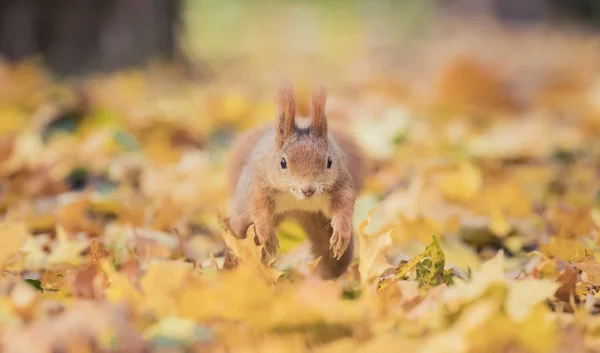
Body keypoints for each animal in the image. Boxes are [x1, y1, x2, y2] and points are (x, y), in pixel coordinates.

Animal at [225, 82, 366, 278]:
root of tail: (296, 211)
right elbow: (259, 206)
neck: (297, 201)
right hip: (243, 225)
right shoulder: (261, 182)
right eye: (282, 163)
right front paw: (266, 233)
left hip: (319, 224)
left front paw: (341, 231)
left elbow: (344, 205)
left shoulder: (340, 183)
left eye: (330, 161)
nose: (308, 190)